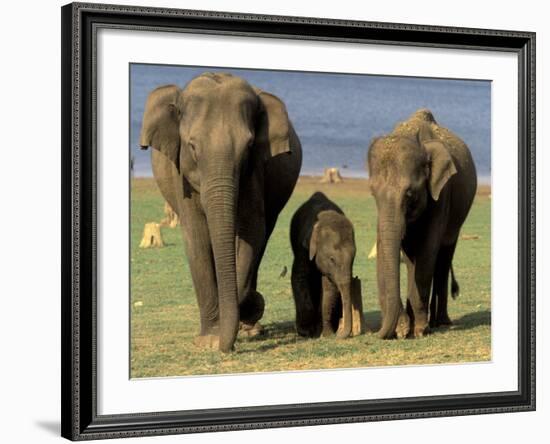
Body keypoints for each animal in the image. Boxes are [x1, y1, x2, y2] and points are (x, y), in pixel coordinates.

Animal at [137, 72, 302, 350]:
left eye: (248, 146)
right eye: (192, 146)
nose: (226, 346)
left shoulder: (254, 171)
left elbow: (251, 230)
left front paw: (248, 311)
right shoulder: (181, 176)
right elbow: (197, 237)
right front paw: (209, 340)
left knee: (263, 236)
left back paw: (251, 328)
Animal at [292, 193, 364, 338]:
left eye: (353, 259)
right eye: (332, 259)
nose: (339, 335)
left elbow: (329, 289)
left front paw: (326, 334)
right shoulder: (302, 247)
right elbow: (299, 277)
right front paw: (307, 331)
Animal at [370, 109, 478, 338]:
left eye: (409, 194)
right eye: (372, 193)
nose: (379, 333)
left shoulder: (441, 194)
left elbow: (428, 251)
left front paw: (419, 330)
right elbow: (386, 250)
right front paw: (404, 329)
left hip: (456, 220)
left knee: (443, 257)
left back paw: (440, 322)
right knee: (413, 258)